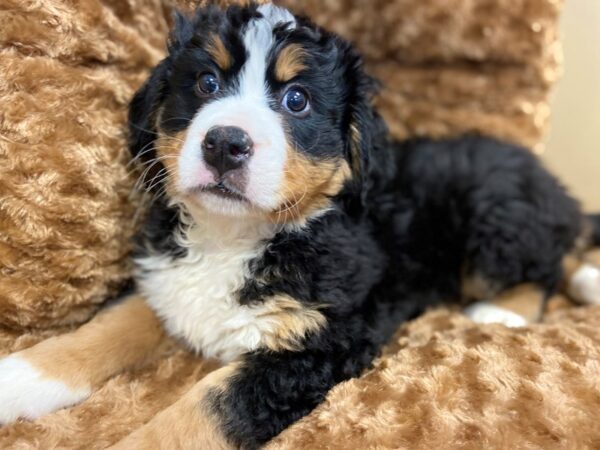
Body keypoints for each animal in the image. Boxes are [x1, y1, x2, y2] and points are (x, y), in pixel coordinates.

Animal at [1, 1, 600, 448]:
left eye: (297, 100)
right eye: (206, 83)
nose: (225, 143)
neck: (233, 239)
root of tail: (549, 182)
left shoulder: (320, 344)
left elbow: (209, 406)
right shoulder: (166, 281)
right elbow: (107, 326)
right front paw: (20, 378)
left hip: (495, 218)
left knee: (547, 261)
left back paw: (505, 309)